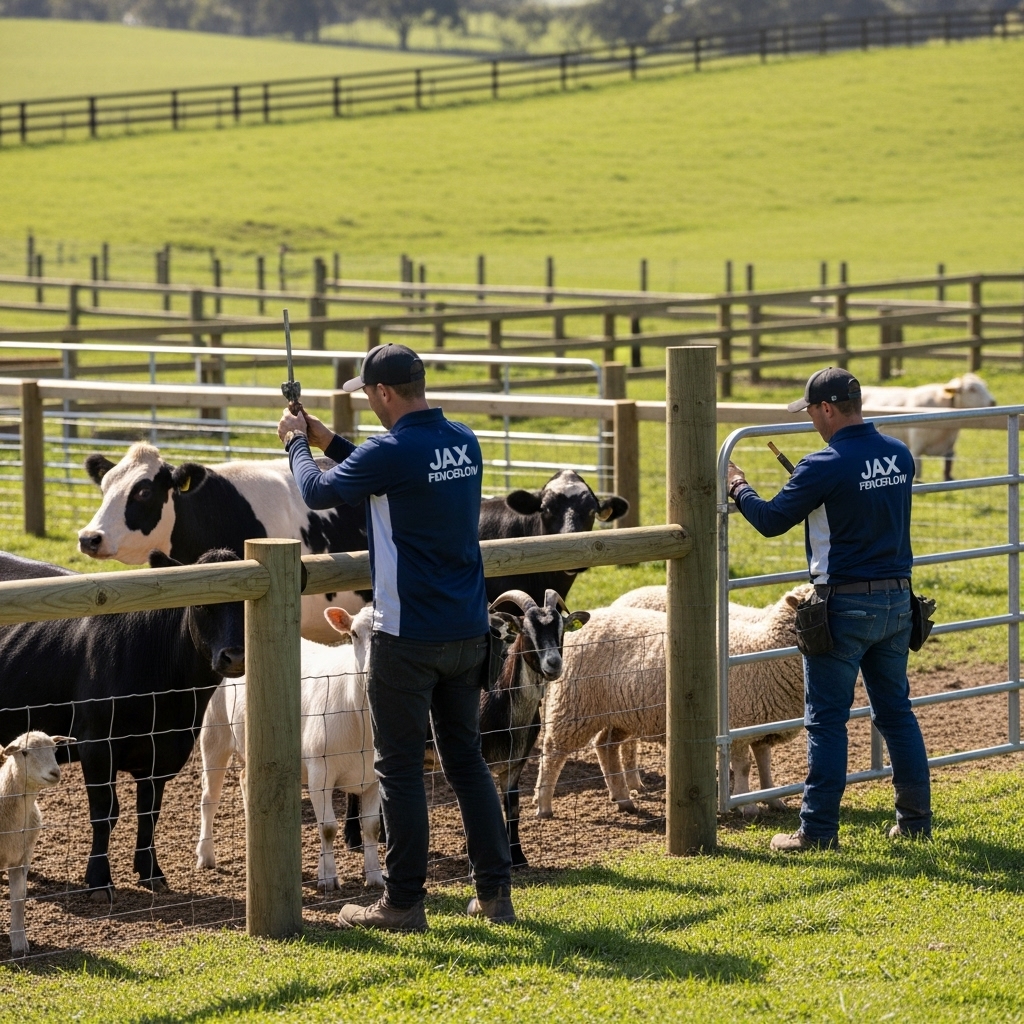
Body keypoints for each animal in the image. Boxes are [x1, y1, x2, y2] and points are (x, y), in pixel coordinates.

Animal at [0, 548, 245, 899]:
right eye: (201, 603)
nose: (234, 657)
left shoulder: (163, 754)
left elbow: (149, 813)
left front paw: (151, 872)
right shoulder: (97, 747)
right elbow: (105, 813)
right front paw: (99, 881)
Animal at [0, 732, 73, 956]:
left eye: (55, 749)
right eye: (24, 752)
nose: (55, 773)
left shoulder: (22, 858)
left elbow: (19, 897)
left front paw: (18, 943)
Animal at [196, 604, 382, 890]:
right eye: (353, 634)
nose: (372, 669)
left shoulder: (372, 777)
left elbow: (371, 827)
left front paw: (375, 877)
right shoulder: (320, 771)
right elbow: (327, 827)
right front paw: (327, 878)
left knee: (245, 779)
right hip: (214, 731)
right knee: (209, 797)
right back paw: (205, 855)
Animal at [534, 585, 811, 820]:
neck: (765, 646)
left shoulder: (763, 723)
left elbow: (765, 765)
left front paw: (773, 799)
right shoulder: (739, 725)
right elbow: (744, 767)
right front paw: (748, 806)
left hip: (621, 712)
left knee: (606, 746)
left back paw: (624, 798)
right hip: (574, 704)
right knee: (553, 751)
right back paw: (544, 805)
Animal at [862, 374, 997, 481]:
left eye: (985, 386)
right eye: (971, 389)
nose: (993, 402)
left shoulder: (949, 448)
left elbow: (947, 470)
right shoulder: (916, 448)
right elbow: (918, 474)